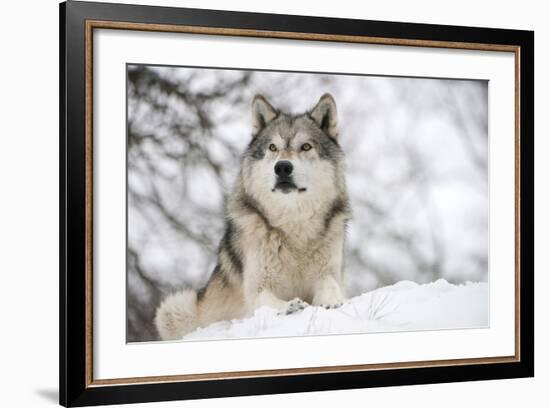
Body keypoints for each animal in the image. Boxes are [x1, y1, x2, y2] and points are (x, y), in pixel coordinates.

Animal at [155, 93, 354, 342]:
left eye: (306, 146)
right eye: (273, 147)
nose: (283, 167)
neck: (293, 228)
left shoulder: (329, 273)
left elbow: (330, 287)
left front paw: (332, 302)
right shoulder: (256, 289)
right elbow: (267, 301)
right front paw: (290, 306)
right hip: (174, 306)